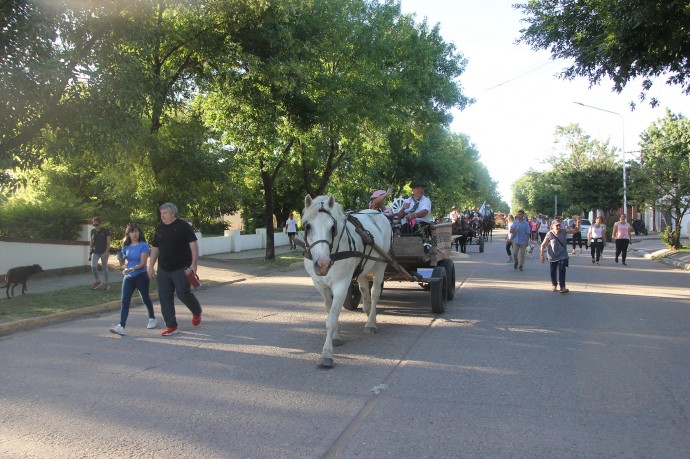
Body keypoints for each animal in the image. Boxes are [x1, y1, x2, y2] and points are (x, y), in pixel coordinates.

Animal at [302, 196, 392, 368]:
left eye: (332, 227)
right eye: (308, 226)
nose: (322, 264)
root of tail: (378, 213)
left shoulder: (341, 285)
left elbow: (331, 318)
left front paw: (326, 354)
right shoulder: (321, 286)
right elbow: (330, 310)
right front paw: (336, 336)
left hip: (380, 264)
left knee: (375, 293)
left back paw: (371, 322)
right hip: (362, 266)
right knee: (364, 289)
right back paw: (368, 311)